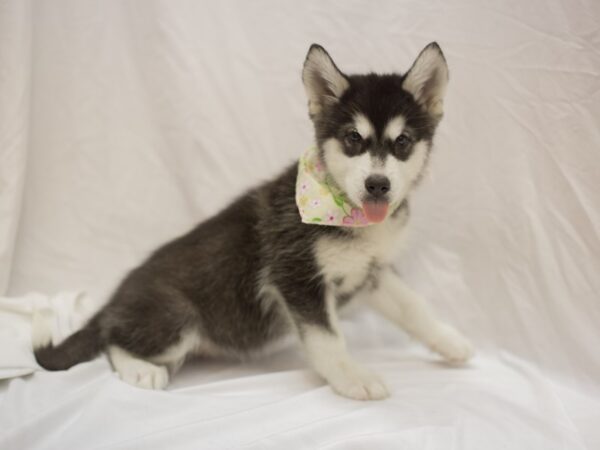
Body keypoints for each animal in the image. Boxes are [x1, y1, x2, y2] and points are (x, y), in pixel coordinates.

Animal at [34, 43, 474, 400]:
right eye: (353, 139)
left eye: (402, 142)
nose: (378, 185)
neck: (349, 216)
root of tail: (114, 299)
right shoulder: (296, 277)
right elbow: (329, 339)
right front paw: (352, 378)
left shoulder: (372, 272)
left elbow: (414, 307)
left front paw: (450, 341)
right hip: (176, 317)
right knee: (113, 340)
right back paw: (141, 369)